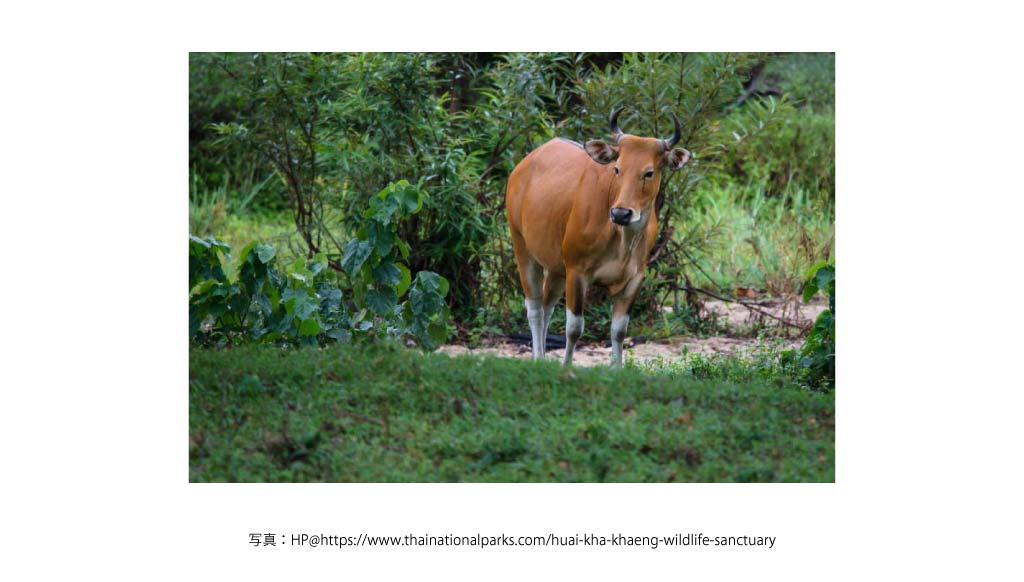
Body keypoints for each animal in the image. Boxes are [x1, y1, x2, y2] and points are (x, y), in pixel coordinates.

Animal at [505, 107, 692, 366]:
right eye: (617, 168)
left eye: (649, 172)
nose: (621, 213)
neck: (621, 240)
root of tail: (522, 167)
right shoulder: (577, 271)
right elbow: (574, 328)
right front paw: (566, 367)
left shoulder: (635, 278)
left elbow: (619, 330)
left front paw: (616, 368)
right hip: (521, 246)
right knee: (534, 308)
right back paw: (538, 357)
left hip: (555, 267)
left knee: (546, 307)